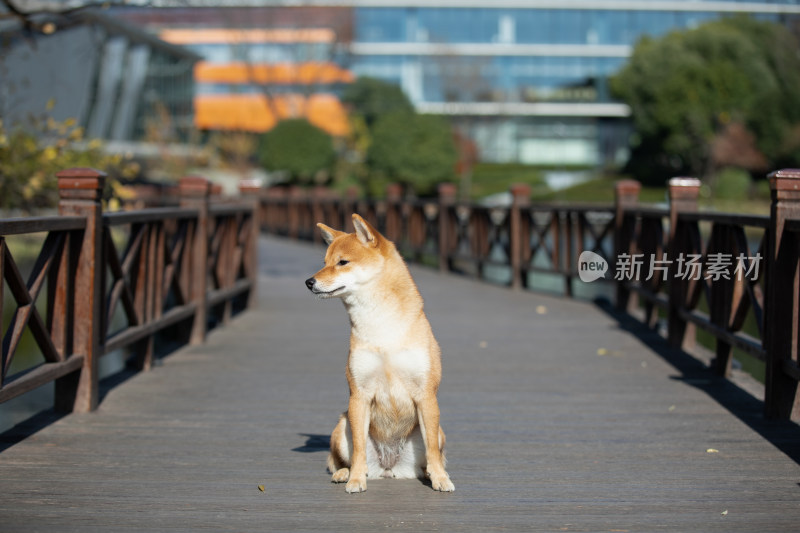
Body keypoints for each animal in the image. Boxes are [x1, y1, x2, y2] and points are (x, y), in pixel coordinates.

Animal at [304, 214, 454, 492]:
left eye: (342, 262)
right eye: (324, 263)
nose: (309, 282)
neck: (382, 326)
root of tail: (389, 467)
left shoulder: (426, 395)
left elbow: (432, 452)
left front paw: (440, 478)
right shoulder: (359, 395)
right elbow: (359, 450)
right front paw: (355, 480)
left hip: (437, 432)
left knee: (428, 457)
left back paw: (430, 474)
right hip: (342, 425)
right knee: (342, 459)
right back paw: (344, 473)